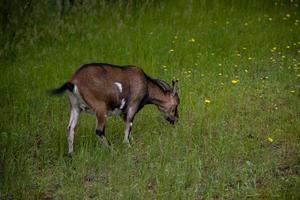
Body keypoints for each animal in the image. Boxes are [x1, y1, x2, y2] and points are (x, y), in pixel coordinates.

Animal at [50, 63, 179, 154]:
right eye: (176, 105)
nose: (175, 119)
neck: (146, 85)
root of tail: (73, 82)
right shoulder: (132, 106)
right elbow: (128, 127)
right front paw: (128, 145)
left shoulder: (123, 113)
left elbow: (128, 128)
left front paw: (132, 142)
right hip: (100, 108)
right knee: (99, 130)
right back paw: (112, 150)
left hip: (75, 107)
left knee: (70, 129)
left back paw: (71, 154)